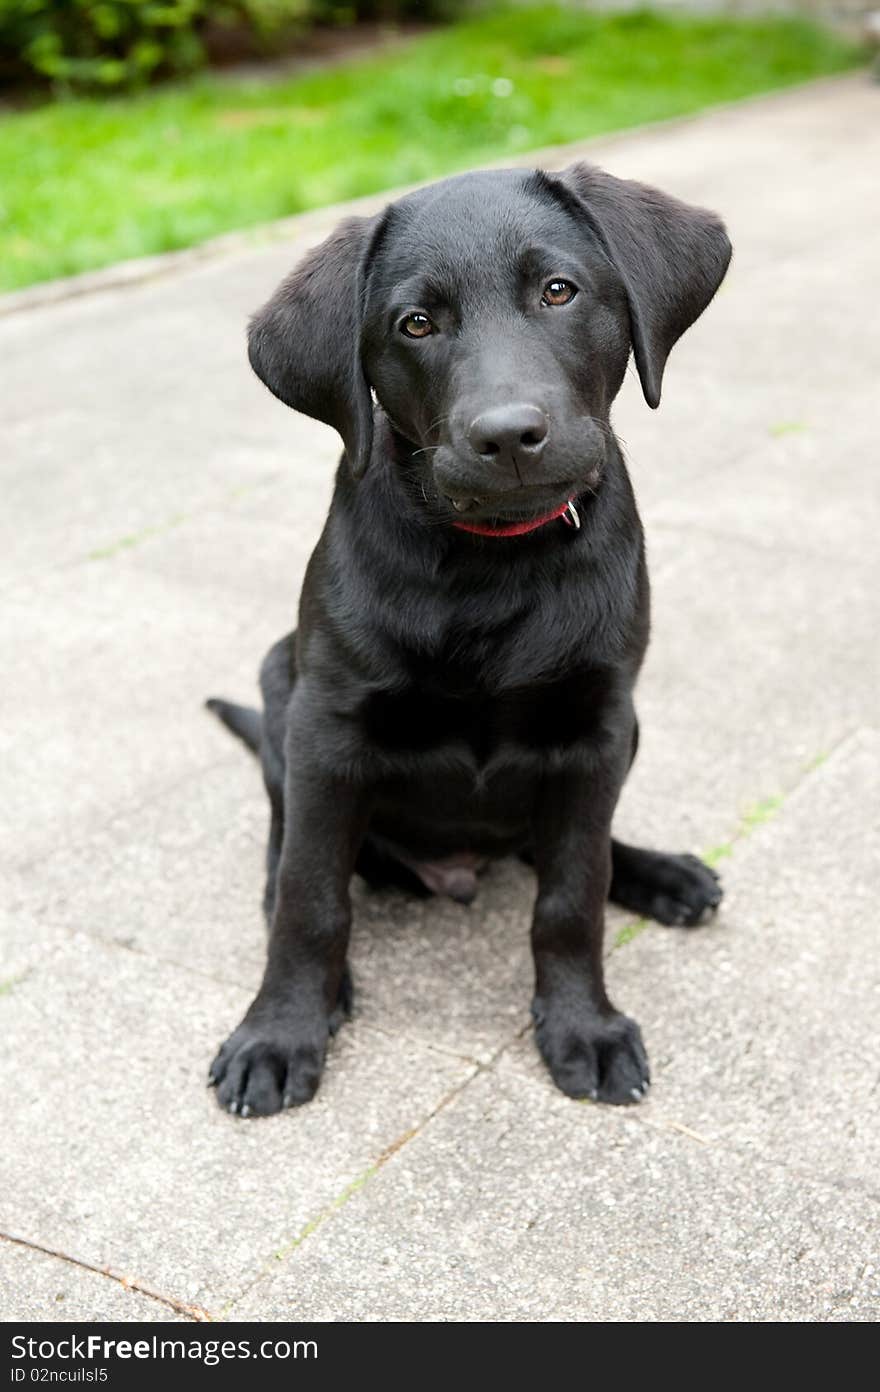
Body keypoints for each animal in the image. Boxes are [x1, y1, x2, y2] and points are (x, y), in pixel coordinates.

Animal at [206, 160, 729, 1119]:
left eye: (558, 291)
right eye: (416, 323)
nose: (508, 435)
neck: (495, 560)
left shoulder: (598, 727)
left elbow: (572, 895)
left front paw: (584, 1025)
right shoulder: (327, 730)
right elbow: (308, 898)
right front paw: (279, 1030)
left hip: (626, 731)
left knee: (561, 847)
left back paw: (662, 876)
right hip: (278, 689)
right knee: (285, 860)